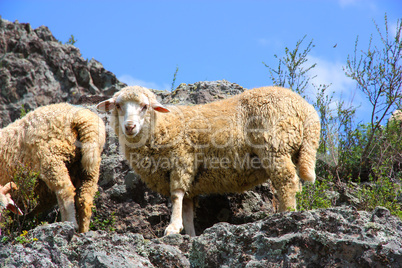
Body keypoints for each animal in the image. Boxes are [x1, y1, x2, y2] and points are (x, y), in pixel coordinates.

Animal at [0, 102, 106, 232]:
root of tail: (79, 116)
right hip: (89, 165)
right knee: (85, 197)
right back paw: (83, 230)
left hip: (51, 158)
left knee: (65, 191)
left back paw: (69, 223)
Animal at [96, 85, 320, 236]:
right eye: (118, 105)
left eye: (144, 106)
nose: (130, 127)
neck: (162, 127)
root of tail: (306, 109)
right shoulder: (190, 178)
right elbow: (187, 208)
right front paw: (190, 234)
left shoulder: (183, 161)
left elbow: (176, 196)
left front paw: (172, 227)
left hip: (275, 145)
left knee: (287, 181)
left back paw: (285, 214)